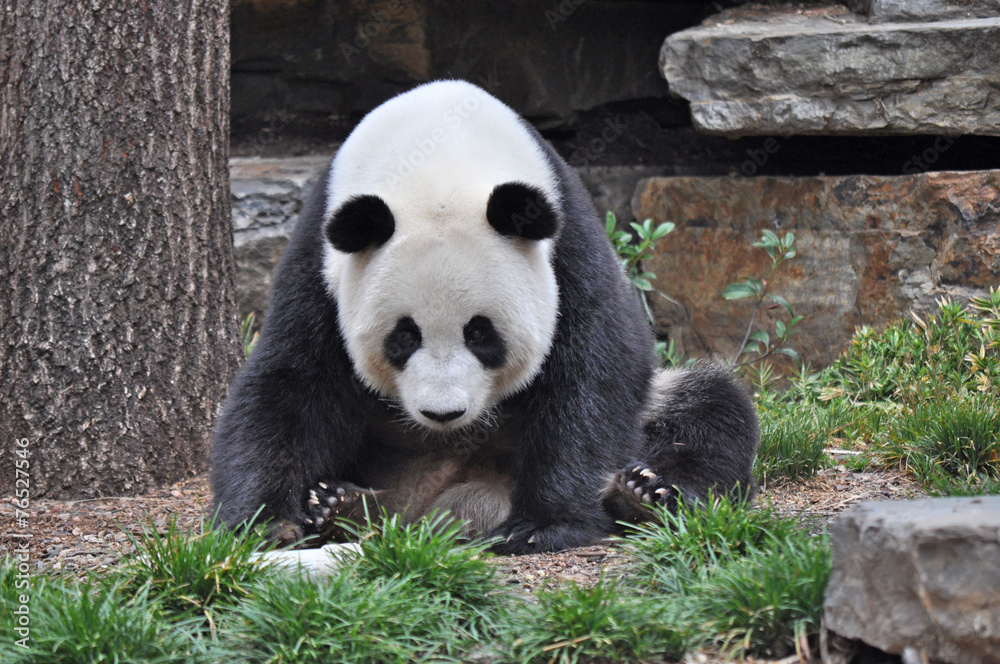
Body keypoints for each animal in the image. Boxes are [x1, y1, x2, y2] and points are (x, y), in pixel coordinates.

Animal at [211, 80, 759, 554]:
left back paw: (645, 496)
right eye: (402, 337)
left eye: (480, 333)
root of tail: (450, 504)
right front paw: (269, 522)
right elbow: (291, 382)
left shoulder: (568, 242)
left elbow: (597, 370)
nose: (444, 414)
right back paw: (339, 506)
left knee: (709, 411)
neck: (438, 152)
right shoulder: (320, 259)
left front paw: (544, 525)